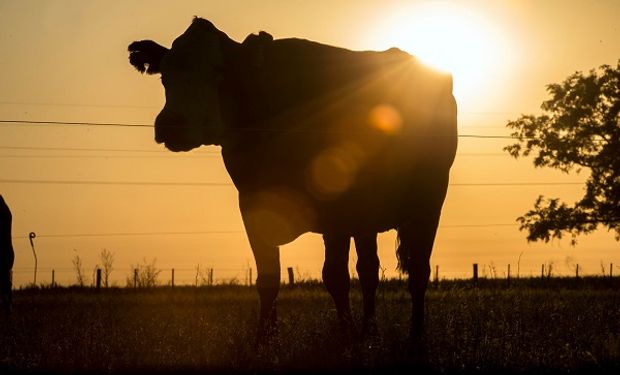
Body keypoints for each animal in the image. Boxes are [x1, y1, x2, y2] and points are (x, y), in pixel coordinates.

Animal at [127, 16, 456, 340]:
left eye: (219, 70)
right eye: (164, 74)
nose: (171, 124)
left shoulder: (337, 212)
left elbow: (336, 276)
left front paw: (346, 336)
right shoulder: (252, 204)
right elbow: (268, 278)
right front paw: (265, 338)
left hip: (429, 202)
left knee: (416, 272)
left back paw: (414, 335)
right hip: (367, 216)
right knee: (369, 270)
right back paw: (369, 330)